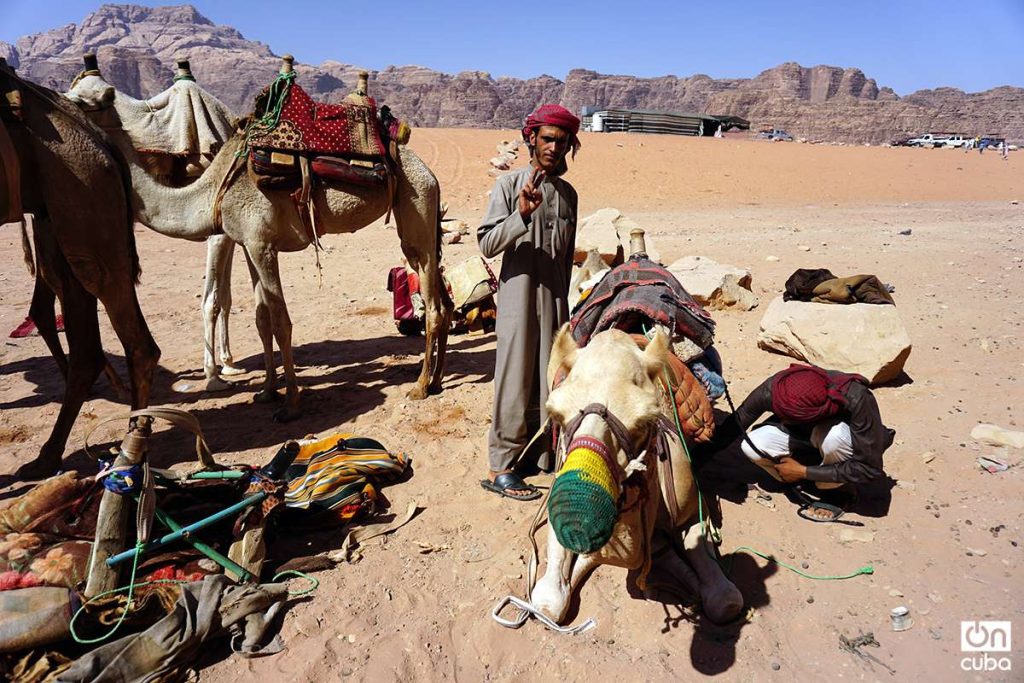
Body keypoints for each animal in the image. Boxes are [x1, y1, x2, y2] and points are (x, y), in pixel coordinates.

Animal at [0, 57, 159, 475]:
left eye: (104, 95)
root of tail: (98, 141)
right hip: (60, 218)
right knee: (83, 343)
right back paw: (50, 455)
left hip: (83, 209)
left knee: (132, 342)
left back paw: (127, 448)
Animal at [70, 70, 454, 421]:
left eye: (85, 100)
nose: (61, 104)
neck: (213, 188)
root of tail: (430, 173)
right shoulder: (248, 245)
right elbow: (260, 319)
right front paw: (268, 391)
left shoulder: (261, 246)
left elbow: (281, 321)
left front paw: (291, 404)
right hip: (421, 220)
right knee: (444, 301)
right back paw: (436, 381)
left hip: (416, 207)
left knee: (434, 305)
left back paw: (420, 386)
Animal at [528, 327, 745, 626]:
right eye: (556, 415)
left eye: (644, 421)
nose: (581, 509)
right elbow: (548, 602)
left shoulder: (691, 510)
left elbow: (726, 600)